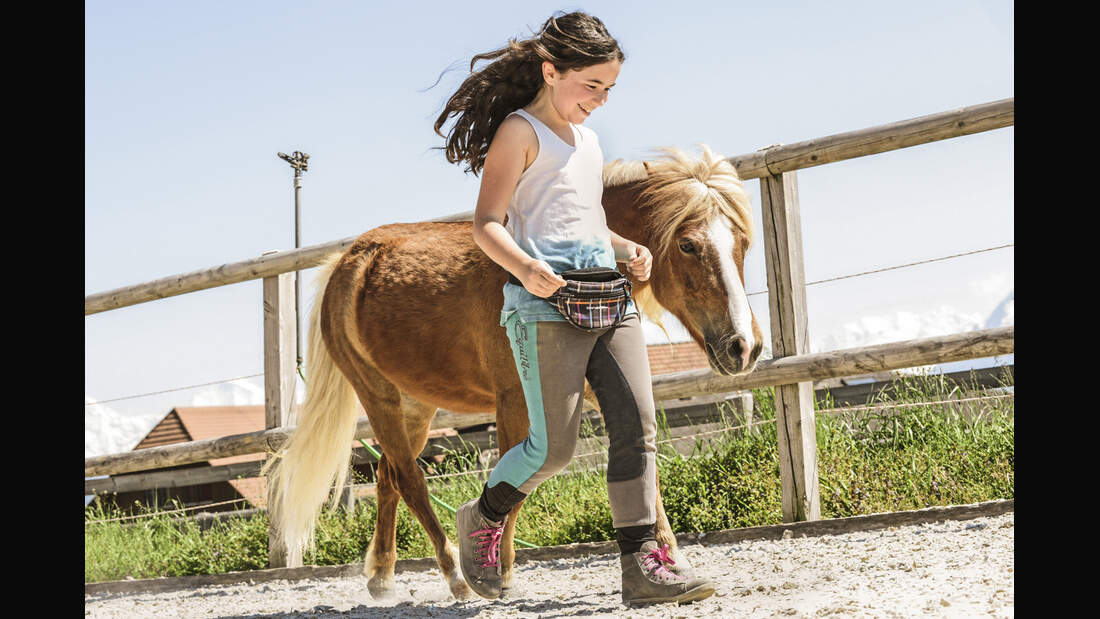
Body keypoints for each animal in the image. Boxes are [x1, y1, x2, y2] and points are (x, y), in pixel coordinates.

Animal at [266, 144, 765, 602]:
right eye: (688, 244)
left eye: (743, 244)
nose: (745, 346)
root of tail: (348, 262)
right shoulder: (517, 405)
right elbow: (515, 484)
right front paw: (497, 573)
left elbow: (643, 472)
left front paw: (668, 563)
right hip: (378, 396)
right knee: (410, 480)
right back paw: (454, 574)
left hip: (416, 407)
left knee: (389, 476)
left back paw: (383, 578)